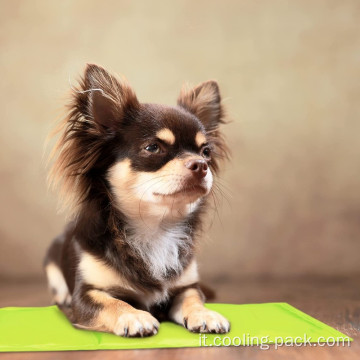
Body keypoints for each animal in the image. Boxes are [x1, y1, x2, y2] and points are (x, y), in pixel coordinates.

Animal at [45, 63, 229, 336]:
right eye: (153, 148)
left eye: (206, 152)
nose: (201, 165)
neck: (154, 228)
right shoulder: (86, 294)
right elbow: (113, 302)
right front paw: (134, 316)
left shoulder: (185, 286)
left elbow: (193, 298)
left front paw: (205, 314)